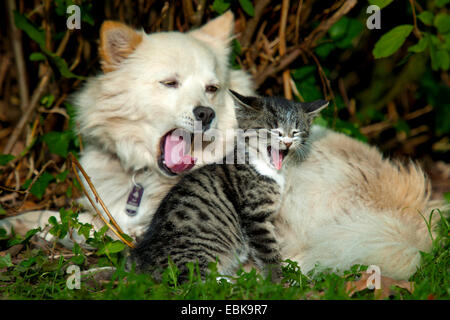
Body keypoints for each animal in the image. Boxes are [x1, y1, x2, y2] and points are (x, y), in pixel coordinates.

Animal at [130, 90, 326, 282]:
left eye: (296, 131)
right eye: (274, 130)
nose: (287, 142)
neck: (264, 167)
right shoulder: (255, 216)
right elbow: (268, 252)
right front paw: (278, 282)